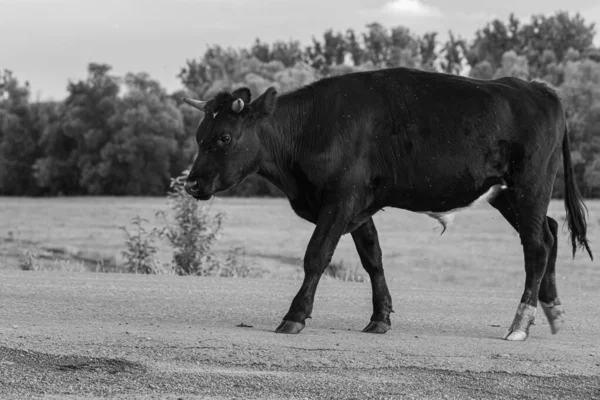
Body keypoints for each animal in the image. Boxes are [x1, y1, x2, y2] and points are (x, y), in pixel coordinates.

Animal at [180, 67, 592, 342]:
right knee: (550, 233)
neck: (315, 127)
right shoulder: (358, 206)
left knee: (535, 247)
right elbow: (372, 258)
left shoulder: (340, 199)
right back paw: (552, 311)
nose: (192, 183)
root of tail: (536, 88)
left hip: (530, 185)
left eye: (224, 137)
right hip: (506, 194)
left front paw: (295, 315)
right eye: (199, 135)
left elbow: (317, 255)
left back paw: (520, 322)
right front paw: (380, 317)